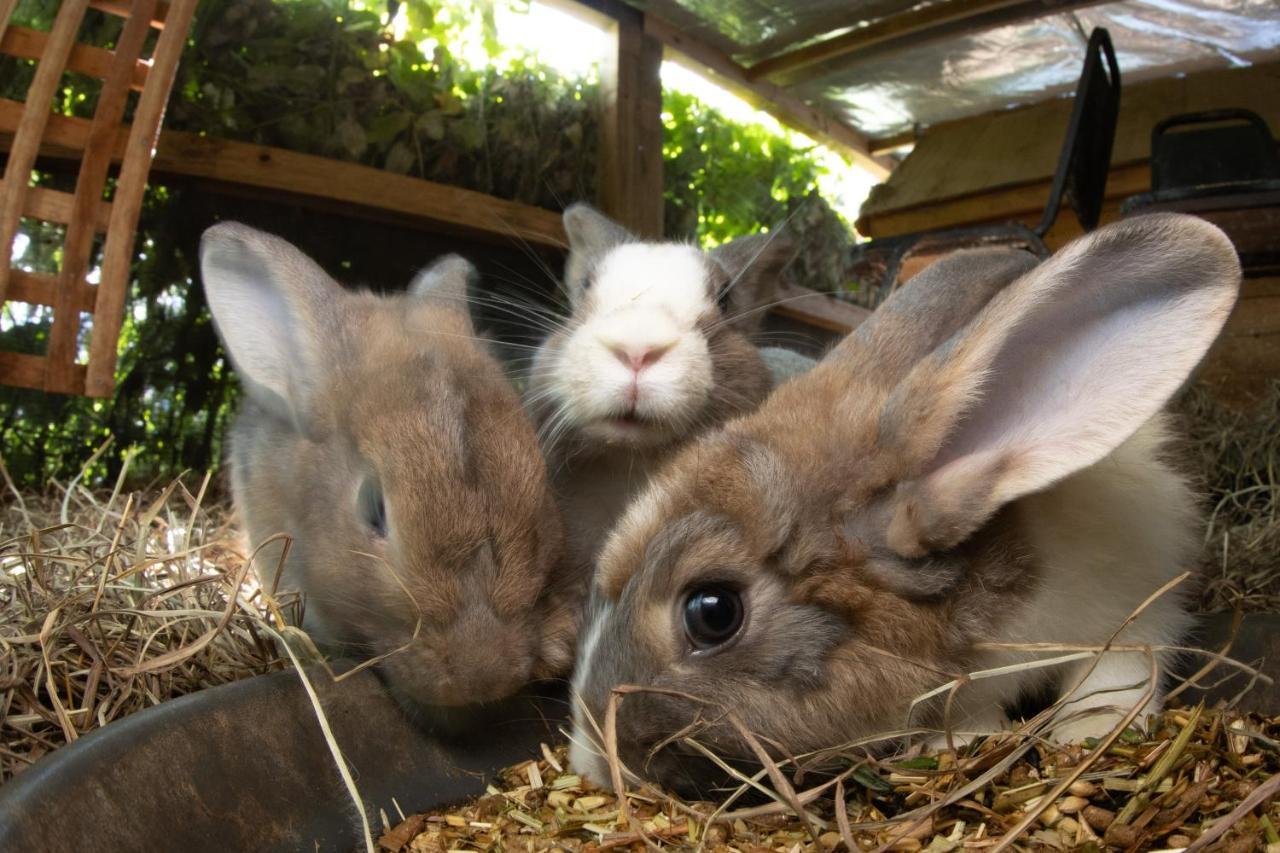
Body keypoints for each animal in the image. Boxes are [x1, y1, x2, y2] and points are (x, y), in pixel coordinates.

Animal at [568, 213, 1239, 788]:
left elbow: (1121, 673)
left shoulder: (1141, 606)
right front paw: (956, 740)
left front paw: (1089, 730)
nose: (591, 758)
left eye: (713, 611)